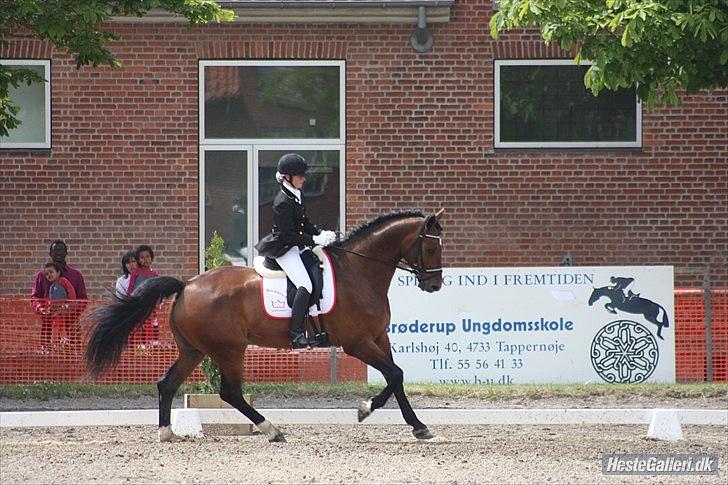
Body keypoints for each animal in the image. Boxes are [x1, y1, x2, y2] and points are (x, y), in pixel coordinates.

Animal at [88, 208, 446, 442]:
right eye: (431, 247)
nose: (435, 286)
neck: (358, 272)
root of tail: (186, 285)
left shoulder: (378, 337)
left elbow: (396, 377)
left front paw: (416, 425)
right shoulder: (357, 343)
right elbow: (394, 375)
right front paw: (365, 409)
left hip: (194, 350)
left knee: (167, 384)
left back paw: (166, 433)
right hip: (229, 349)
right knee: (230, 391)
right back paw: (272, 430)